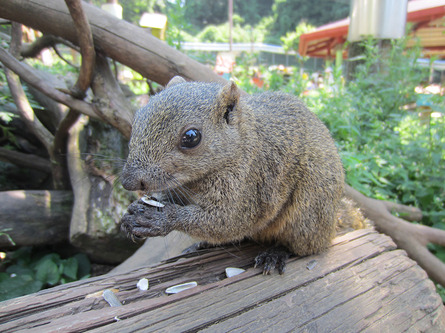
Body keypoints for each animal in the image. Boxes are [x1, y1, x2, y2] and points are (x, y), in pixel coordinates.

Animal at [119, 76, 362, 274]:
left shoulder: (250, 184)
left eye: (191, 137)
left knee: (305, 246)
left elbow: (226, 220)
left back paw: (276, 253)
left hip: (309, 210)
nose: (128, 181)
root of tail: (332, 222)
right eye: (137, 118)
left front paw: (160, 218)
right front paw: (133, 212)